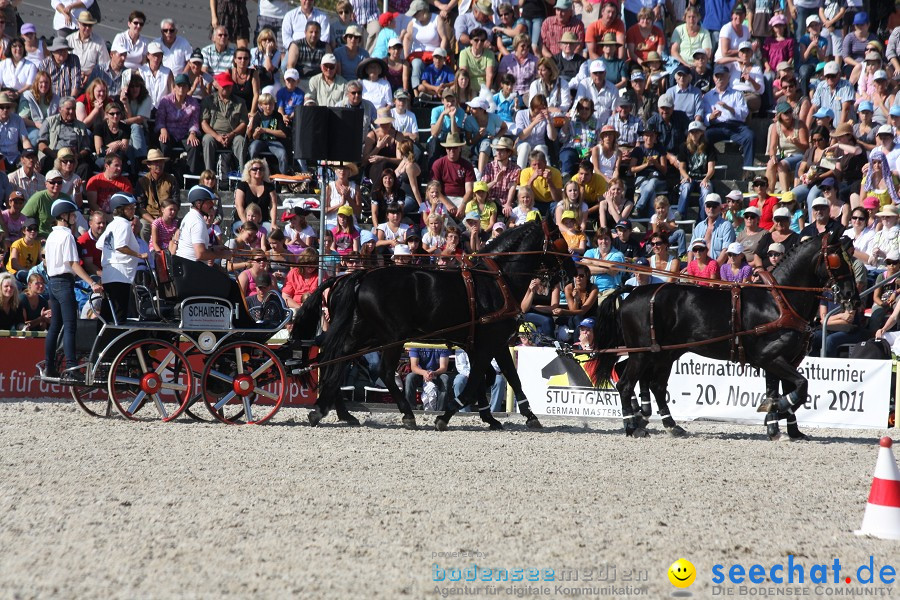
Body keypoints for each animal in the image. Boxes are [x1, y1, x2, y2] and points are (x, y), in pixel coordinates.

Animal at [290, 223, 576, 428]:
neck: (497, 279)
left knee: (338, 358)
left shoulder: (486, 345)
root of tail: (362, 276)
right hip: (392, 336)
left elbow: (503, 377)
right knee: (382, 371)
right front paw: (445, 415)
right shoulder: (489, 342)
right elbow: (478, 382)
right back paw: (406, 414)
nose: (573, 270)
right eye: (559, 237)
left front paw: (501, 417)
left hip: (362, 333)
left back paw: (326, 409)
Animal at [596, 234, 860, 440]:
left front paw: (785, 429)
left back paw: (668, 424)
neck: (779, 302)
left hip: (664, 354)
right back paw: (633, 425)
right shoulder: (770, 357)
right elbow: (800, 387)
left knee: (655, 386)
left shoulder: (785, 359)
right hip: (643, 353)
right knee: (625, 383)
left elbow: (786, 389)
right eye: (838, 261)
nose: (852, 297)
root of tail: (632, 292)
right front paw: (776, 411)